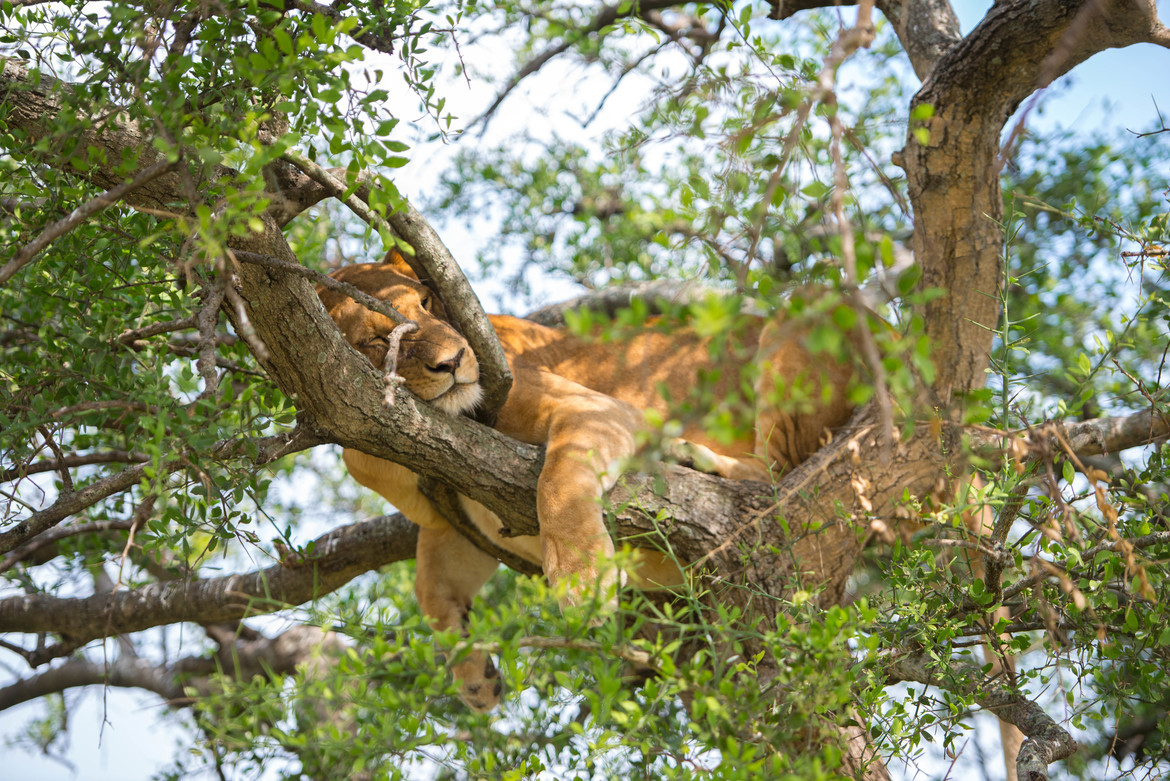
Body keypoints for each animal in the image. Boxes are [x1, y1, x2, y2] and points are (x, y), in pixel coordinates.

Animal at [317, 252, 860, 711]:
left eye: (427, 303)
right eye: (378, 340)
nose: (453, 362)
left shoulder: (594, 408)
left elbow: (557, 486)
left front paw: (585, 583)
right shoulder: (454, 523)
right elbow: (430, 591)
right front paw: (473, 677)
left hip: (813, 307)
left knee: (779, 472)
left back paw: (696, 459)